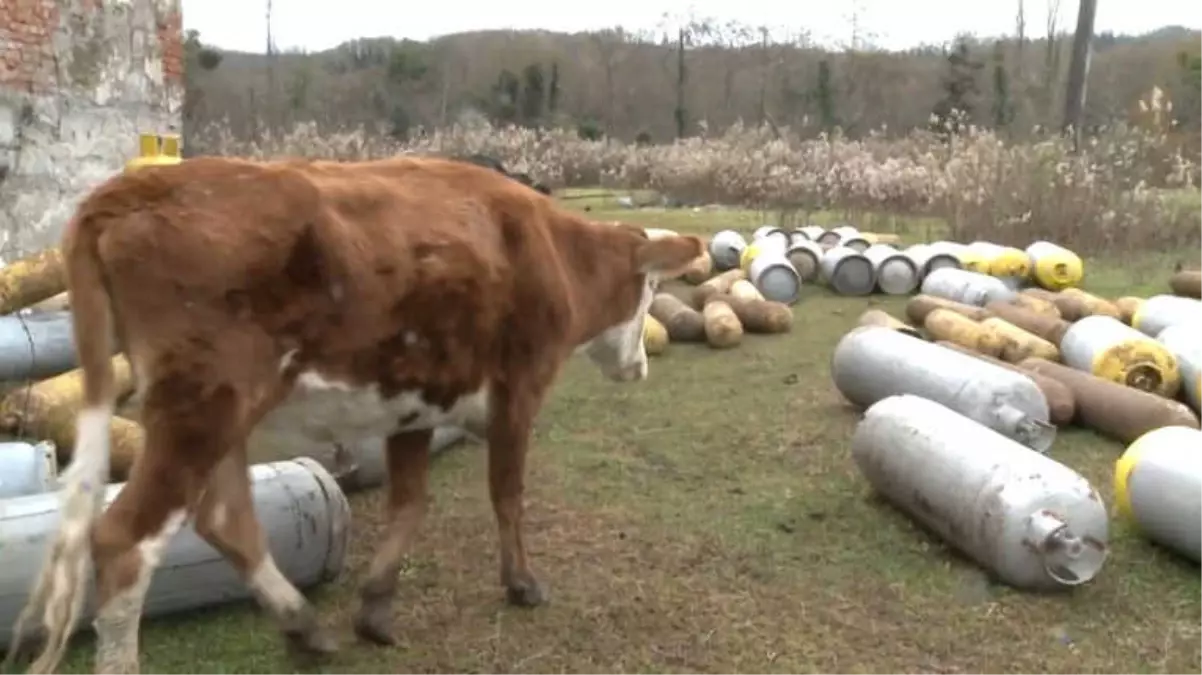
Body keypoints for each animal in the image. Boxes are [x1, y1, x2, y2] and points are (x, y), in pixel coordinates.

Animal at [7, 154, 701, 667]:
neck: (548, 249)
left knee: (227, 519)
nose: (640, 365)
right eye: (651, 288)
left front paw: (375, 606)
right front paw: (521, 584)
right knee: (124, 540)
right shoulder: (519, 391)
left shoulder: (419, 402)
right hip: (199, 412)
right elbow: (507, 495)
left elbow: (410, 502)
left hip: (222, 413)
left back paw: (302, 625)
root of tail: (133, 186)